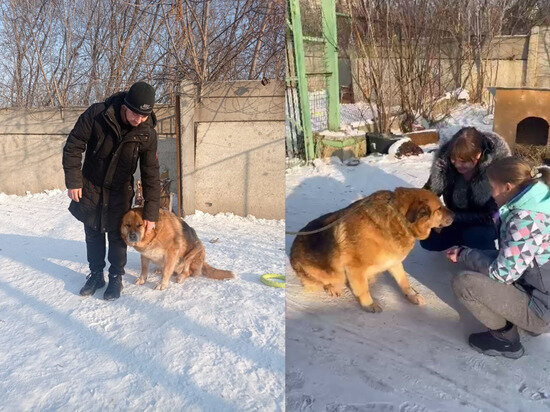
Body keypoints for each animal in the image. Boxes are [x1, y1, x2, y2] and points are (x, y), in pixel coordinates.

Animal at [292, 187, 454, 312]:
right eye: (439, 208)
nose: (455, 214)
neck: (397, 218)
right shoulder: (355, 267)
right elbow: (363, 290)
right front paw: (369, 304)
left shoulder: (393, 262)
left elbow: (403, 281)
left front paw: (411, 295)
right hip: (326, 273)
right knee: (326, 281)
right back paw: (333, 288)